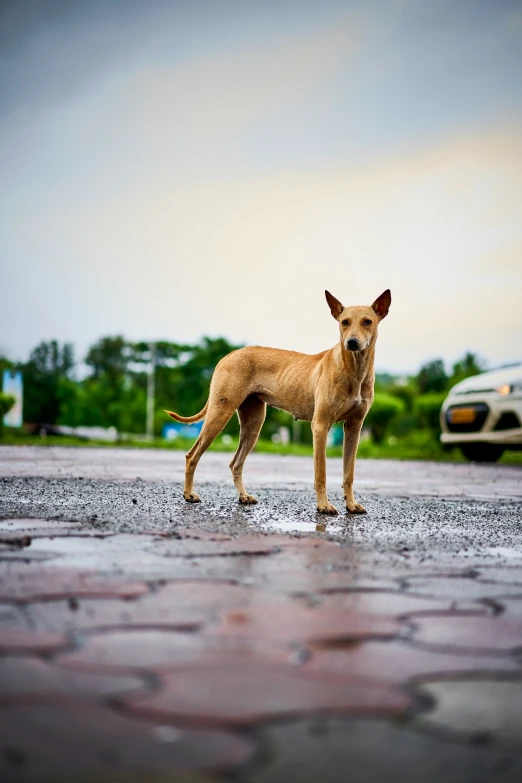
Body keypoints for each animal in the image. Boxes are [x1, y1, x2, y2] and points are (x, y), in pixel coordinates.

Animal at [165, 288, 388, 516]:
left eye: (367, 321)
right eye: (345, 322)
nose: (351, 342)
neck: (353, 368)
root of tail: (229, 355)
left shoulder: (354, 428)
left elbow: (349, 473)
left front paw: (351, 505)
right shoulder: (320, 426)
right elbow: (321, 473)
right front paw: (323, 505)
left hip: (253, 424)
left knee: (235, 463)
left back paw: (243, 496)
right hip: (220, 413)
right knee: (192, 456)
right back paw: (189, 494)